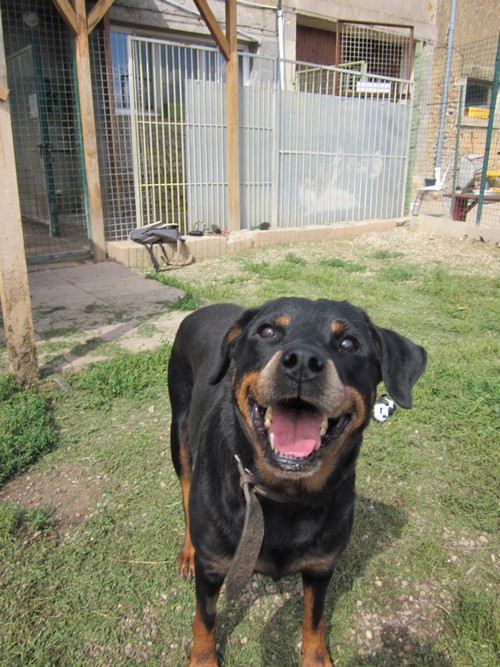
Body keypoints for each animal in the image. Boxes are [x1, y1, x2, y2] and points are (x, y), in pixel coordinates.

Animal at [168, 298, 426, 667]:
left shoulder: (321, 566)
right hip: (180, 432)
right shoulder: (214, 567)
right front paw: (203, 658)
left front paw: (316, 658)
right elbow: (205, 619)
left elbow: (314, 621)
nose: (303, 361)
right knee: (187, 494)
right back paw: (189, 551)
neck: (283, 494)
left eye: (349, 343)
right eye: (267, 331)